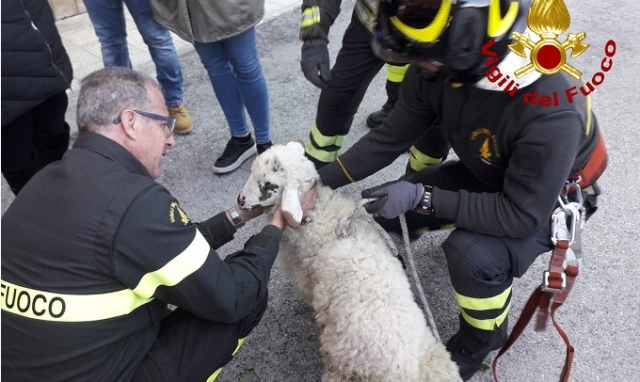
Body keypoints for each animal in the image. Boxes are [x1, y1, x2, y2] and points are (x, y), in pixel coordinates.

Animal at [238, 142, 462, 380]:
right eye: (252, 173)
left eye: (269, 185)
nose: (240, 200)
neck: (320, 215)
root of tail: (403, 371)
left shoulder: (304, 277)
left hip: (341, 365)